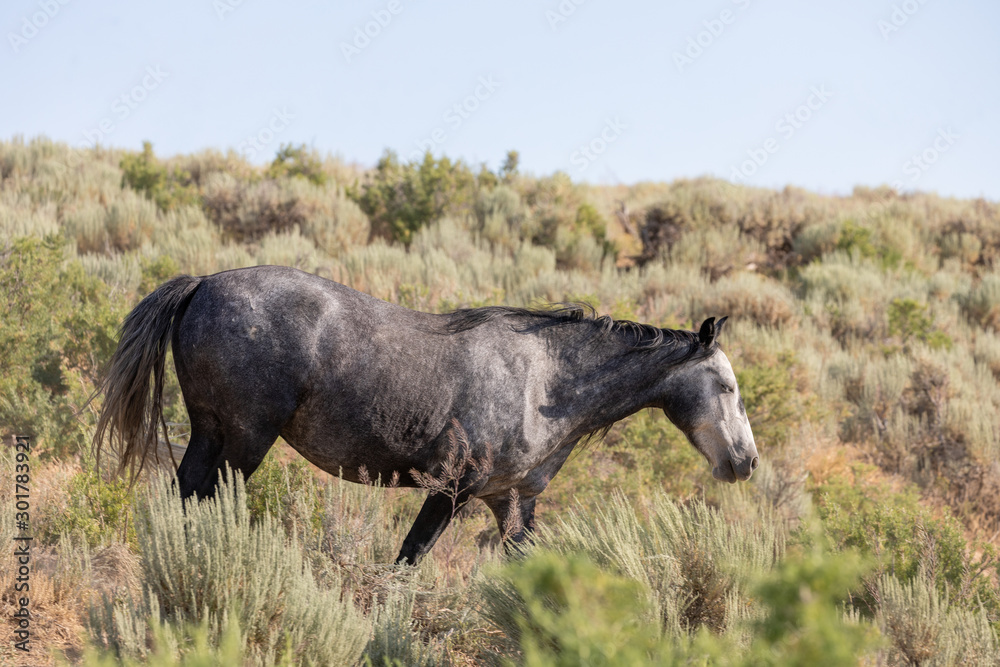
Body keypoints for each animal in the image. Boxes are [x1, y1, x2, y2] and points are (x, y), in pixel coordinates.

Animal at [93, 265, 758, 564]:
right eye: (726, 386)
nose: (746, 462)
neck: (544, 381)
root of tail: (203, 282)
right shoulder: (450, 491)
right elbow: (407, 562)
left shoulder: (511, 502)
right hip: (244, 441)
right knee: (204, 501)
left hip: (210, 434)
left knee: (182, 498)